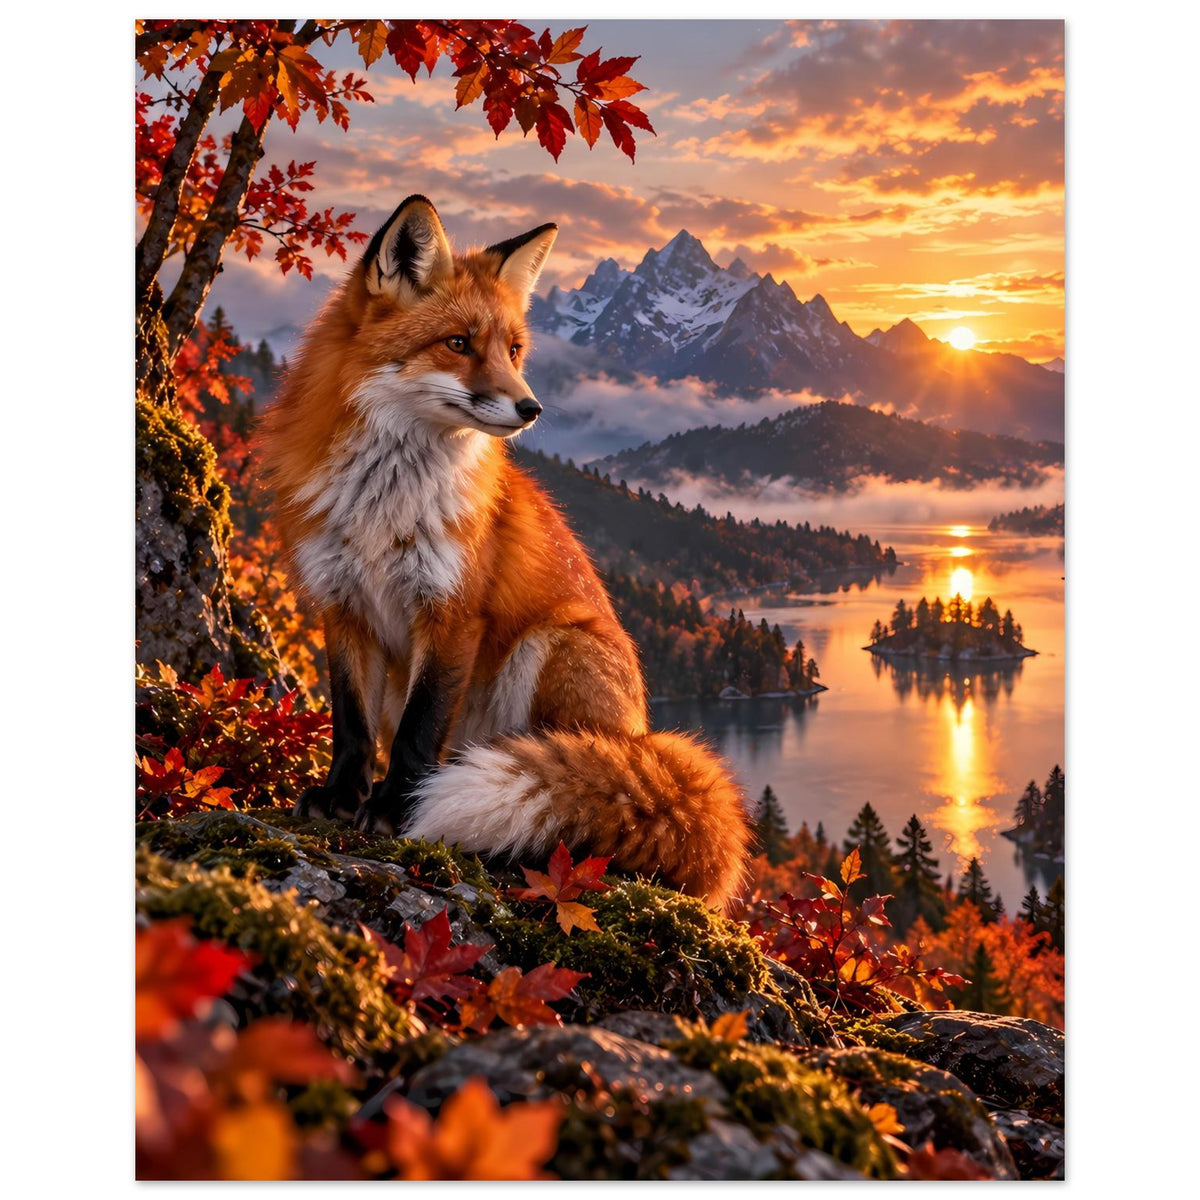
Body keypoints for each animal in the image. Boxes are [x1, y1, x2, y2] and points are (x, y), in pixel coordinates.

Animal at [258, 194, 752, 910]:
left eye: (514, 349)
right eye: (459, 343)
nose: (531, 407)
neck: (384, 505)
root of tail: (642, 735)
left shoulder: (453, 611)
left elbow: (418, 732)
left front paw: (395, 811)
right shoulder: (342, 603)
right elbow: (351, 726)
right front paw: (341, 798)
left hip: (549, 646)